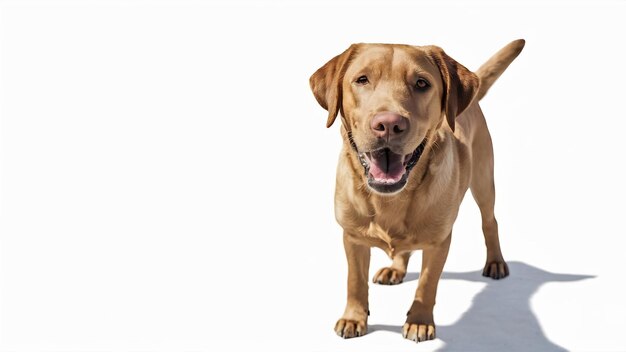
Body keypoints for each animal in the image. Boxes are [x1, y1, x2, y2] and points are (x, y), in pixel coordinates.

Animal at [308, 40, 520, 342]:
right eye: (362, 80)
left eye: (421, 83)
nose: (388, 124)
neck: (390, 200)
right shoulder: (352, 237)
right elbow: (355, 282)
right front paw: (354, 317)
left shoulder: (440, 242)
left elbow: (427, 284)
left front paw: (419, 321)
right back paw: (395, 268)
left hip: (483, 180)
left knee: (490, 221)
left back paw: (496, 262)